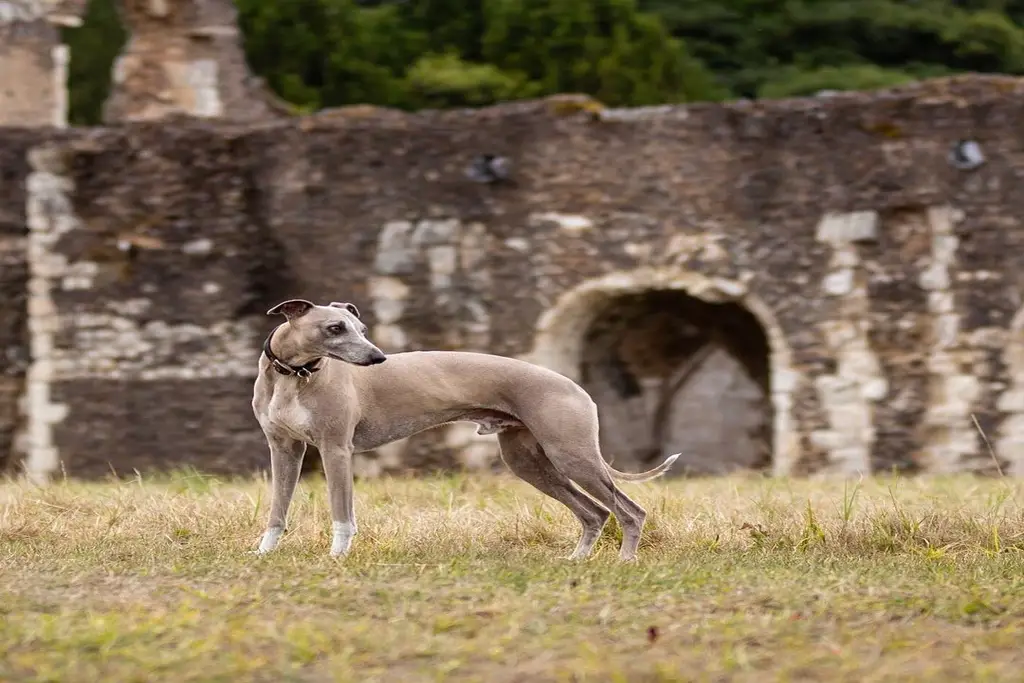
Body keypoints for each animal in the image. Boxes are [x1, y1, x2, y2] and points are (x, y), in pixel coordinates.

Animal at [251, 299, 675, 561]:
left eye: (362, 327)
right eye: (335, 327)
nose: (378, 358)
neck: (294, 376)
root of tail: (577, 388)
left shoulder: (336, 449)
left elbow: (342, 513)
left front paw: (337, 557)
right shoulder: (284, 450)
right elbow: (277, 510)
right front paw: (264, 552)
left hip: (573, 456)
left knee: (630, 511)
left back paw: (624, 560)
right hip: (531, 463)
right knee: (595, 513)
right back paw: (577, 560)